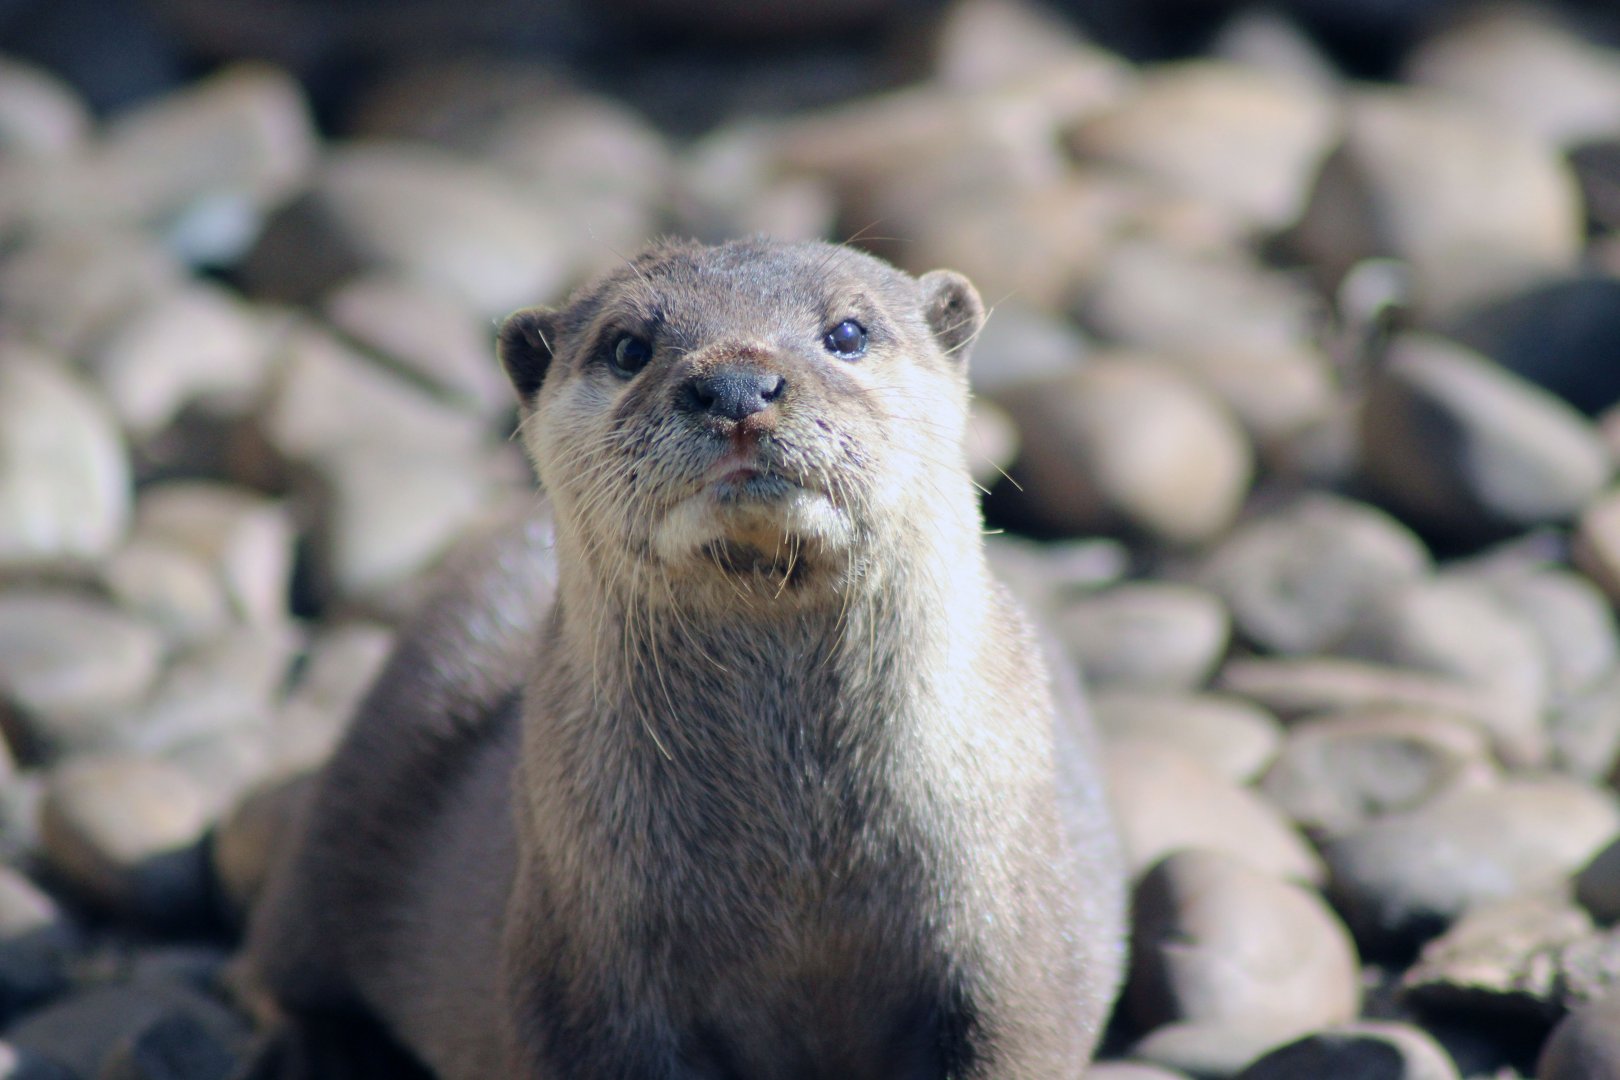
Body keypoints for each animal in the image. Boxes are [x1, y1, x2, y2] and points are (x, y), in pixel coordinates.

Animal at [235, 238, 1125, 1079]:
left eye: (847, 333)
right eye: (629, 346)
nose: (736, 386)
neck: (795, 865)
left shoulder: (1018, 949)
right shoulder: (583, 967)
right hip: (354, 796)